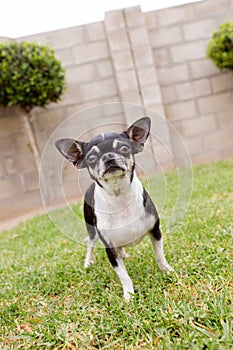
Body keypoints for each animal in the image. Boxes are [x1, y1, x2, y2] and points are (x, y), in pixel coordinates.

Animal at [56, 117, 173, 300]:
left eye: (124, 148)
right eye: (91, 158)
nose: (108, 156)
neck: (119, 196)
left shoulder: (155, 232)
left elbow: (160, 256)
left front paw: (166, 271)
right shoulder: (109, 249)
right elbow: (124, 276)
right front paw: (129, 295)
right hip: (92, 230)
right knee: (90, 244)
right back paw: (88, 262)